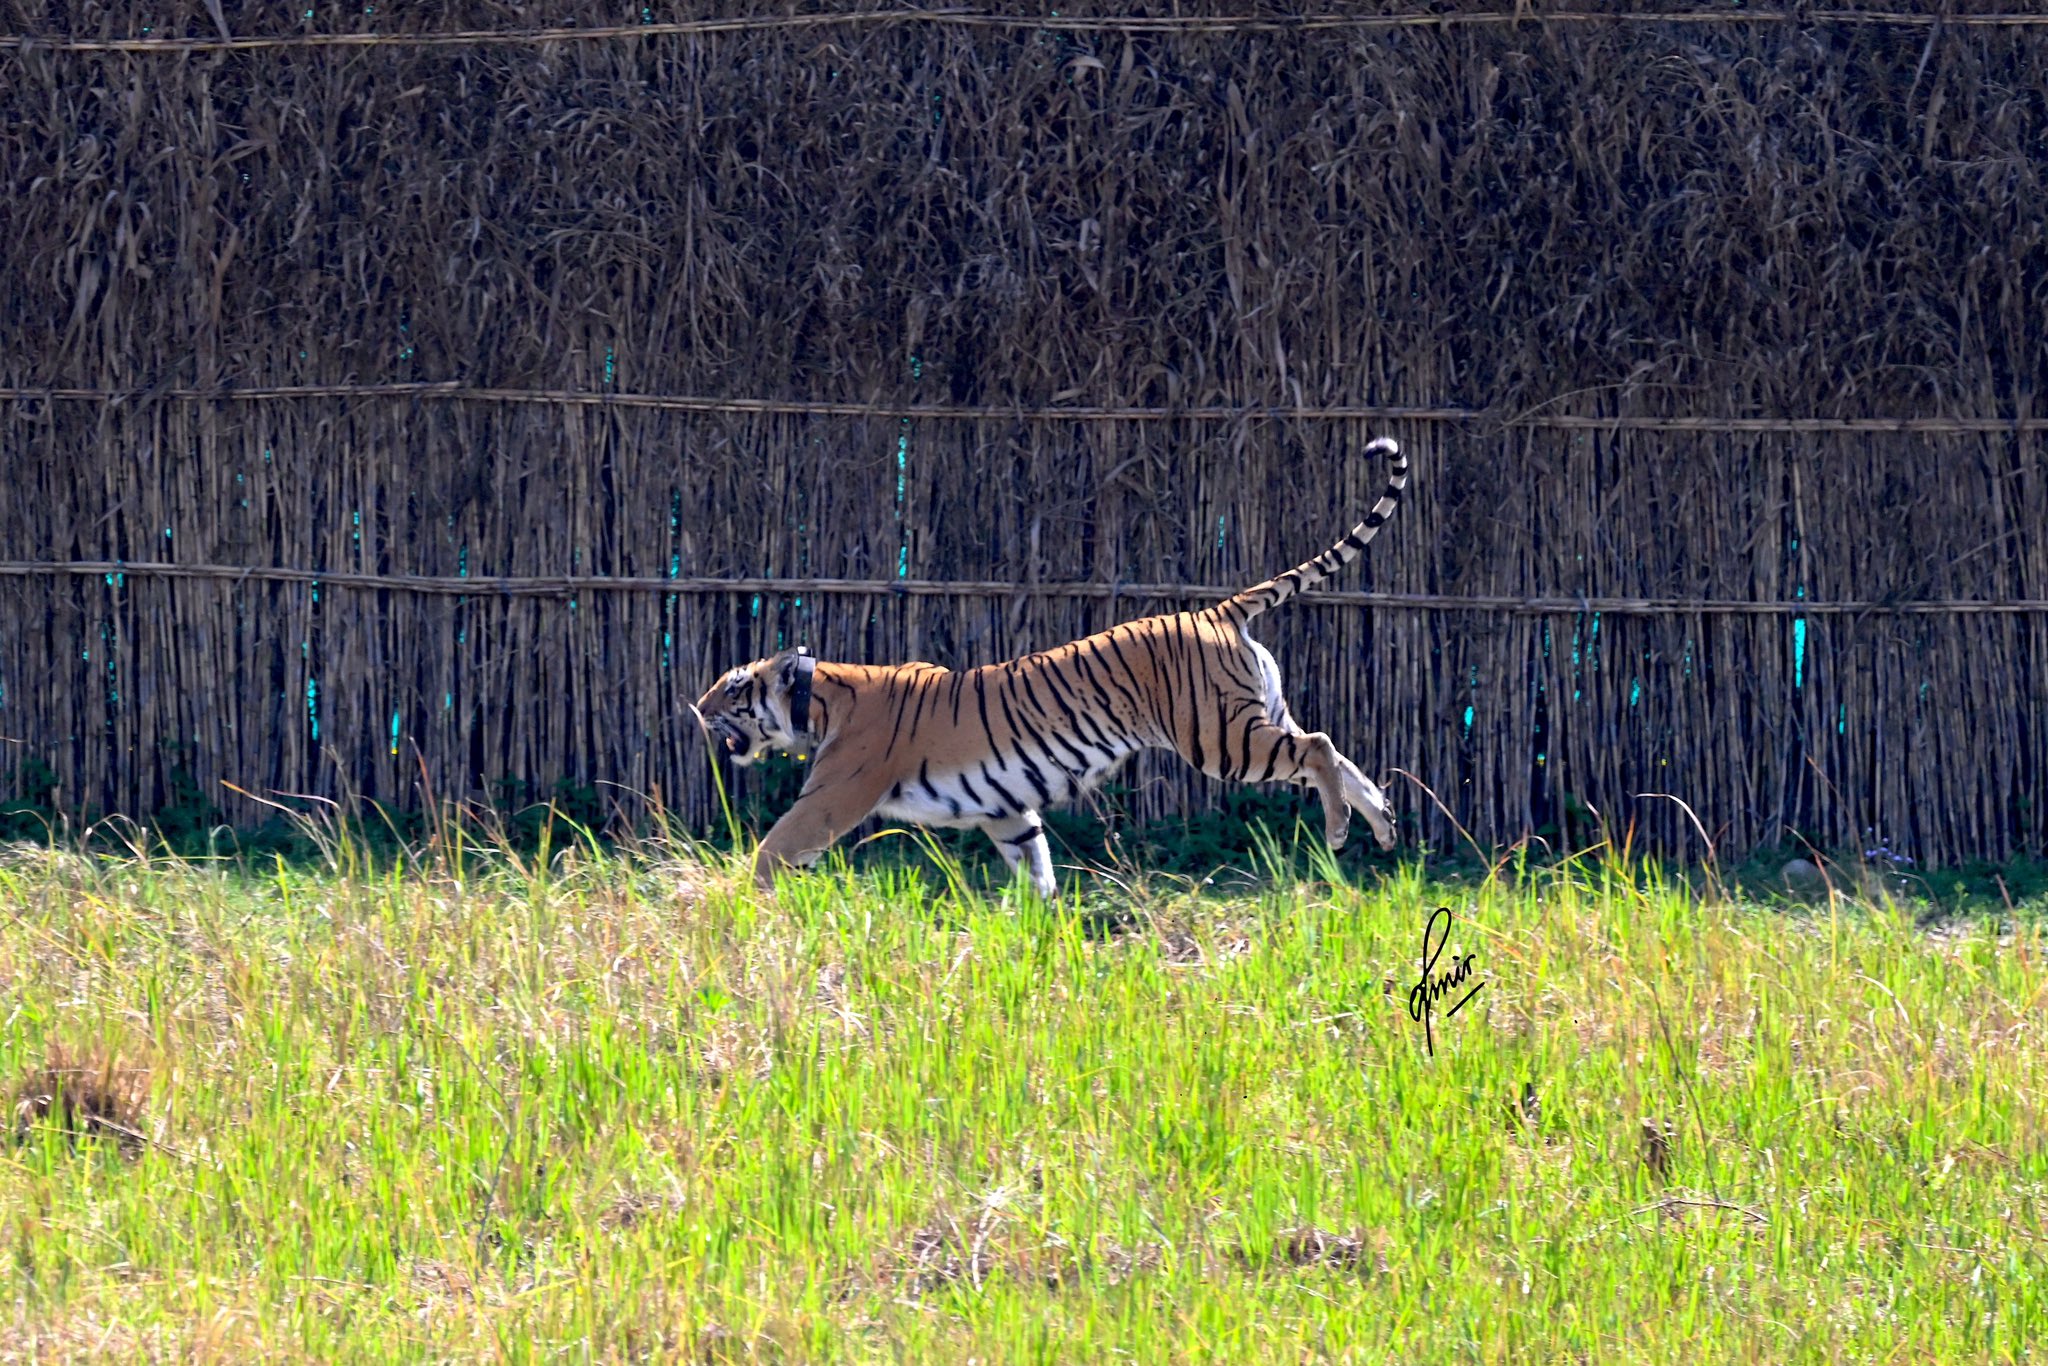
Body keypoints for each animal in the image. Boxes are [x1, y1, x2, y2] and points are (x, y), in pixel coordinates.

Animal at [700, 432, 1409, 892]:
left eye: (733, 687)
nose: (696, 708)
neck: (818, 701)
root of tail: (1215, 610)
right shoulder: (1006, 810)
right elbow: (1035, 865)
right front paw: (1036, 929)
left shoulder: (833, 796)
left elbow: (772, 847)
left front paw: (743, 907)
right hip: (1258, 717)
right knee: (1336, 754)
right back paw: (1383, 824)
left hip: (1220, 737)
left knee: (1319, 747)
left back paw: (1342, 832)